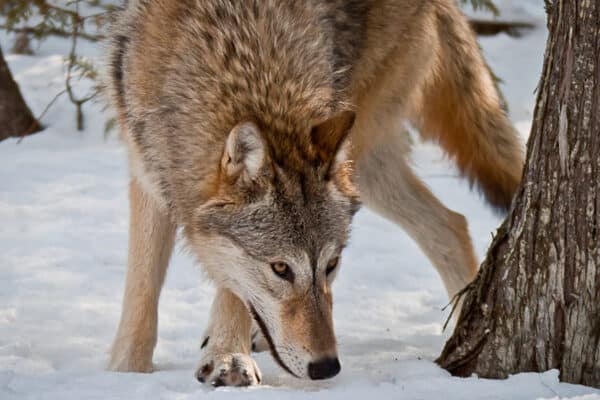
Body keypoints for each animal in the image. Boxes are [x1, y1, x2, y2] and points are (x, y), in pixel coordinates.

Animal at [105, 0, 524, 388]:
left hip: (359, 146)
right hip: (366, 168)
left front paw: (228, 358)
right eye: (280, 269)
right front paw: (126, 372)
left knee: (451, 223)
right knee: (452, 223)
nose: (327, 368)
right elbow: (142, 291)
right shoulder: (147, 172)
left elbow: (232, 284)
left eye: (332, 264)